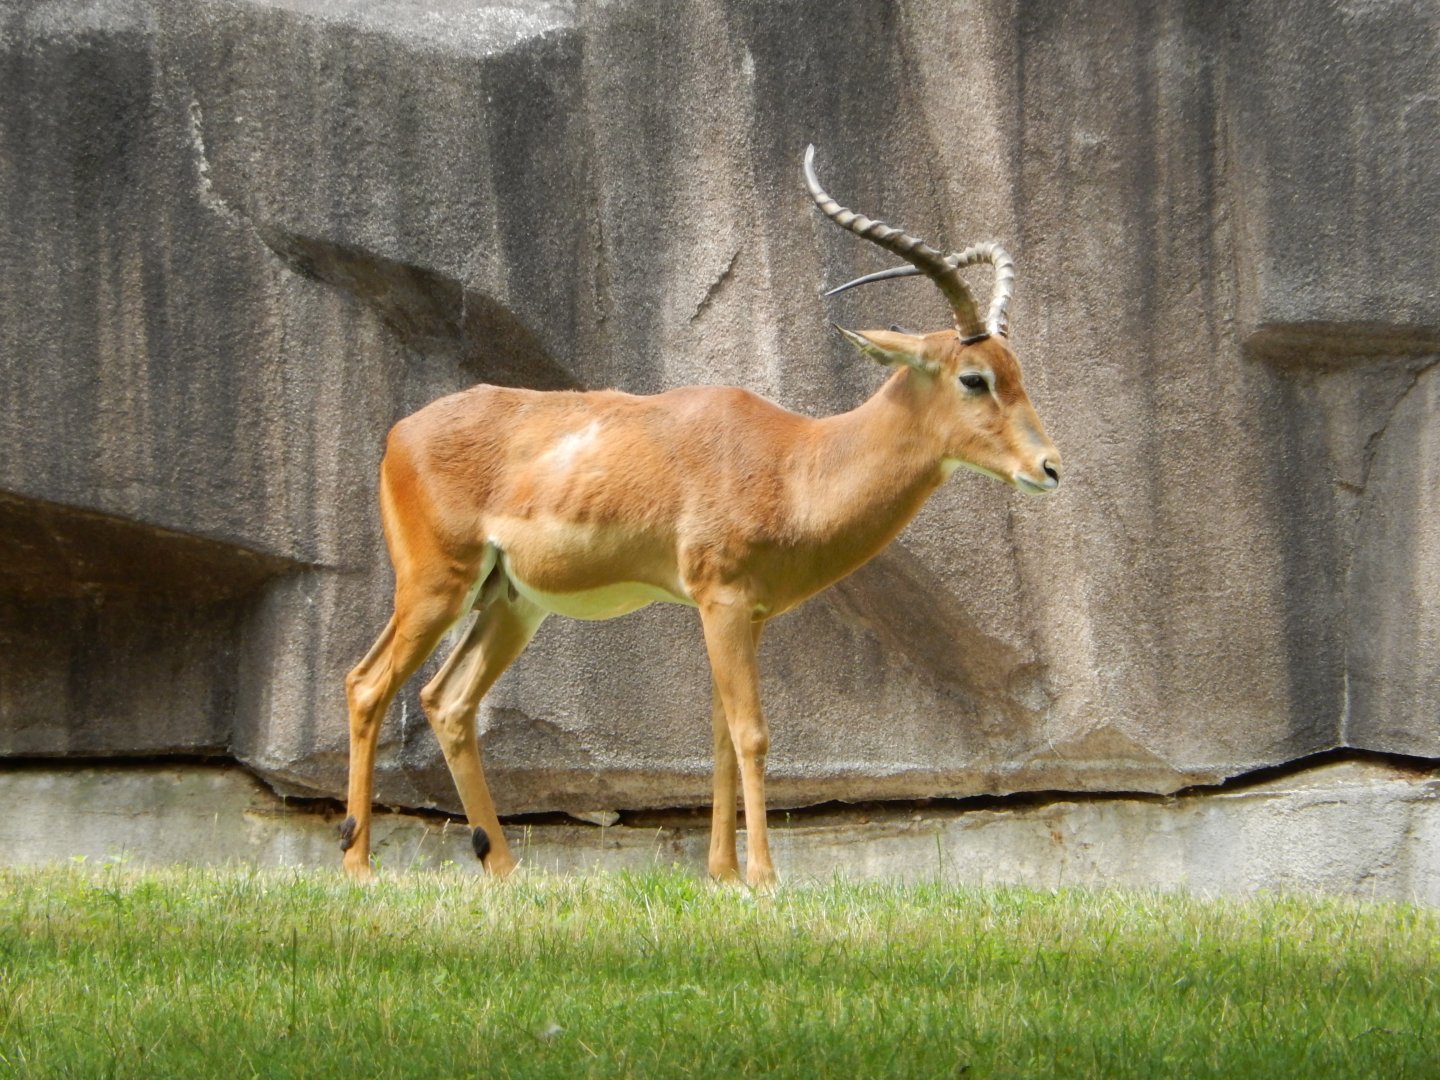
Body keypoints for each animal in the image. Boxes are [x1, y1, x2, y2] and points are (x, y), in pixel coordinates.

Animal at [340, 145, 1061, 885]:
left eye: (1016, 368)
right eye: (973, 377)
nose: (1049, 467)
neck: (795, 461)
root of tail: (400, 432)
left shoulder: (748, 614)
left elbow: (718, 736)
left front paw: (723, 875)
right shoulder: (722, 600)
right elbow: (752, 733)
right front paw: (765, 879)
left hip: (511, 602)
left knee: (447, 701)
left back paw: (506, 870)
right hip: (435, 586)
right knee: (367, 685)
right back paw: (358, 865)